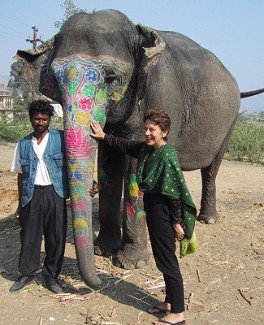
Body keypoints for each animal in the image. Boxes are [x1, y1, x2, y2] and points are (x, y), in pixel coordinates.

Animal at [16, 8, 264, 286]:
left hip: (230, 123)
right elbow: (109, 160)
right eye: (56, 81)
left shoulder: (162, 96)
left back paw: (207, 219)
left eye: (112, 77)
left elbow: (137, 165)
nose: (99, 282)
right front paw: (103, 250)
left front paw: (132, 263)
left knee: (211, 169)